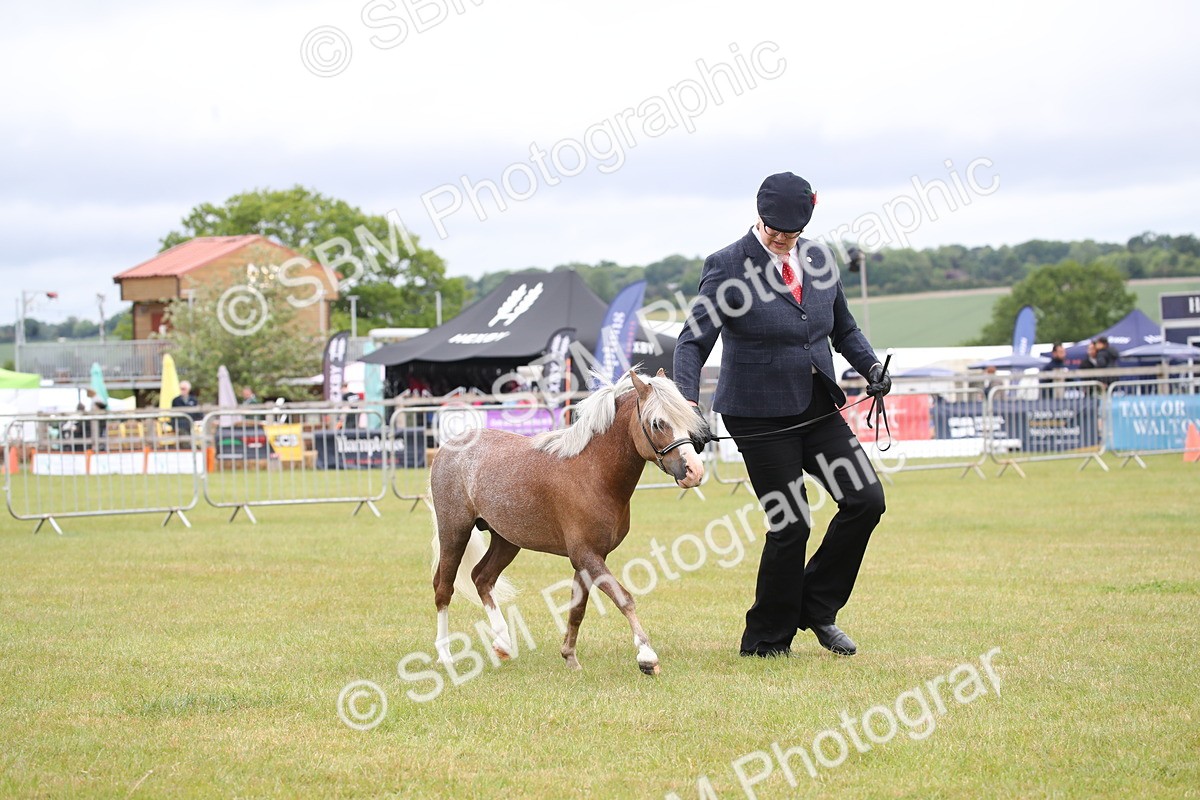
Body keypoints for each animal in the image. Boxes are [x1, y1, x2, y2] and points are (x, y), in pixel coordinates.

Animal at [428, 368, 708, 676]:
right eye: (658, 423)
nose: (694, 472)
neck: (593, 473)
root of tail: (451, 445)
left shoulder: (589, 558)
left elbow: (577, 609)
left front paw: (570, 657)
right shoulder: (586, 555)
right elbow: (623, 598)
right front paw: (647, 657)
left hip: (507, 540)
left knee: (482, 578)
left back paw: (502, 643)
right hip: (454, 531)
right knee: (444, 588)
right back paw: (445, 655)